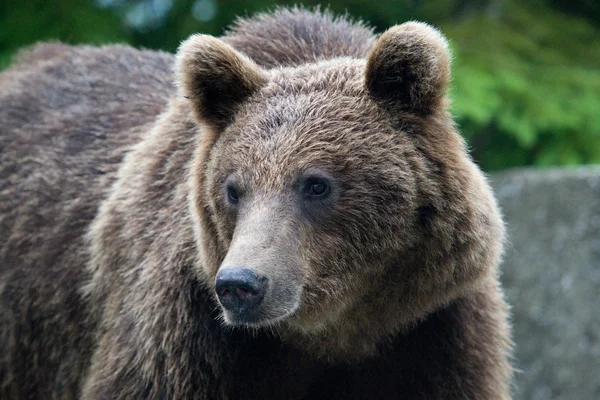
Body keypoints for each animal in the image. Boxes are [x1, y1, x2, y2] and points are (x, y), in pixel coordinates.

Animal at [2, 7, 512, 400]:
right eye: (234, 189)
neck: (336, 333)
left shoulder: (432, 333)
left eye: (315, 184)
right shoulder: (186, 337)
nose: (240, 285)